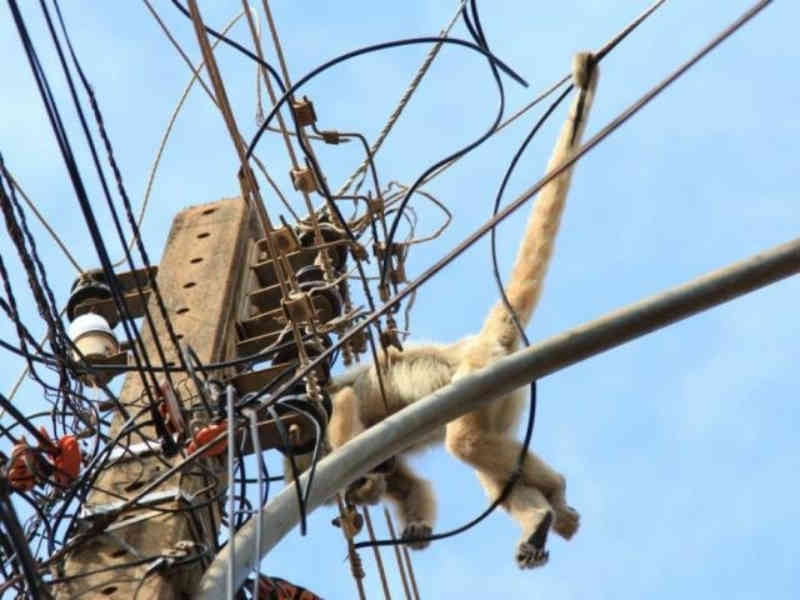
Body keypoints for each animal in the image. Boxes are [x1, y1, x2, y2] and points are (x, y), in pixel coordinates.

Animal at [290, 51, 599, 569]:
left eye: (353, 494)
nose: (363, 494)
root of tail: (473, 345)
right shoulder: (383, 457)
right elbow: (409, 483)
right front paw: (413, 526)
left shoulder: (337, 425)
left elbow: (350, 407)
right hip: (507, 394)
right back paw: (547, 513)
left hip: (478, 380)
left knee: (466, 442)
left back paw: (551, 493)